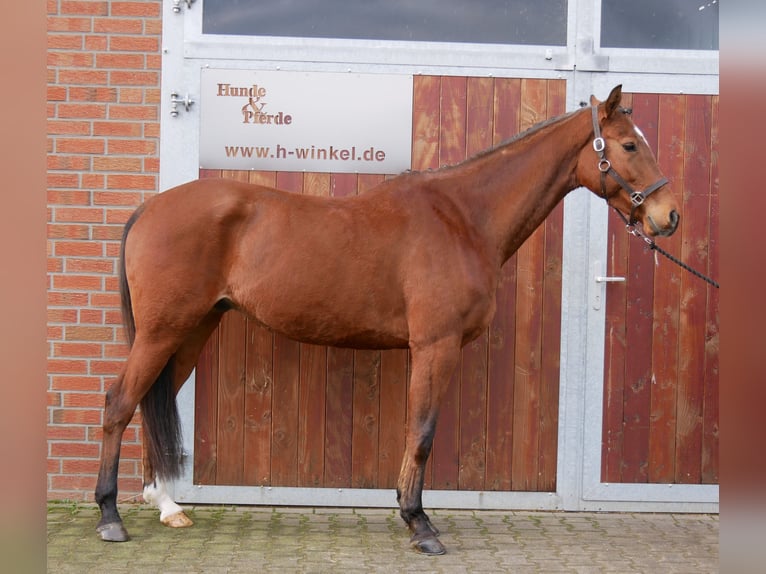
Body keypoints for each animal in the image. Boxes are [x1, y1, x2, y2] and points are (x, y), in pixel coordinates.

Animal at [94, 83, 680, 556]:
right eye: (629, 145)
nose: (668, 216)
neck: (462, 216)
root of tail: (150, 208)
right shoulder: (436, 345)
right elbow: (422, 432)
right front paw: (420, 525)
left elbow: (416, 430)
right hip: (163, 331)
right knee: (120, 402)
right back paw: (110, 518)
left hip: (192, 329)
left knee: (151, 399)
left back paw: (167, 506)